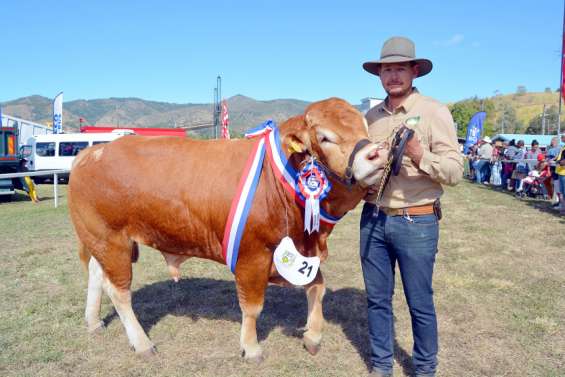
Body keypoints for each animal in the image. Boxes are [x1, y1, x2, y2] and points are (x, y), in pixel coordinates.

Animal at [68, 97, 388, 362]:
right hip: (111, 240)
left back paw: (94, 322)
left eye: (365, 128)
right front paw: (252, 348)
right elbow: (253, 306)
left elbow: (317, 287)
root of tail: (94, 151)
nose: (376, 153)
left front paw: (313, 335)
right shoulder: (253, 255)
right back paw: (142, 343)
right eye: (325, 137)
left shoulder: (298, 252)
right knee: (119, 292)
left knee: (96, 275)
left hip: (100, 241)